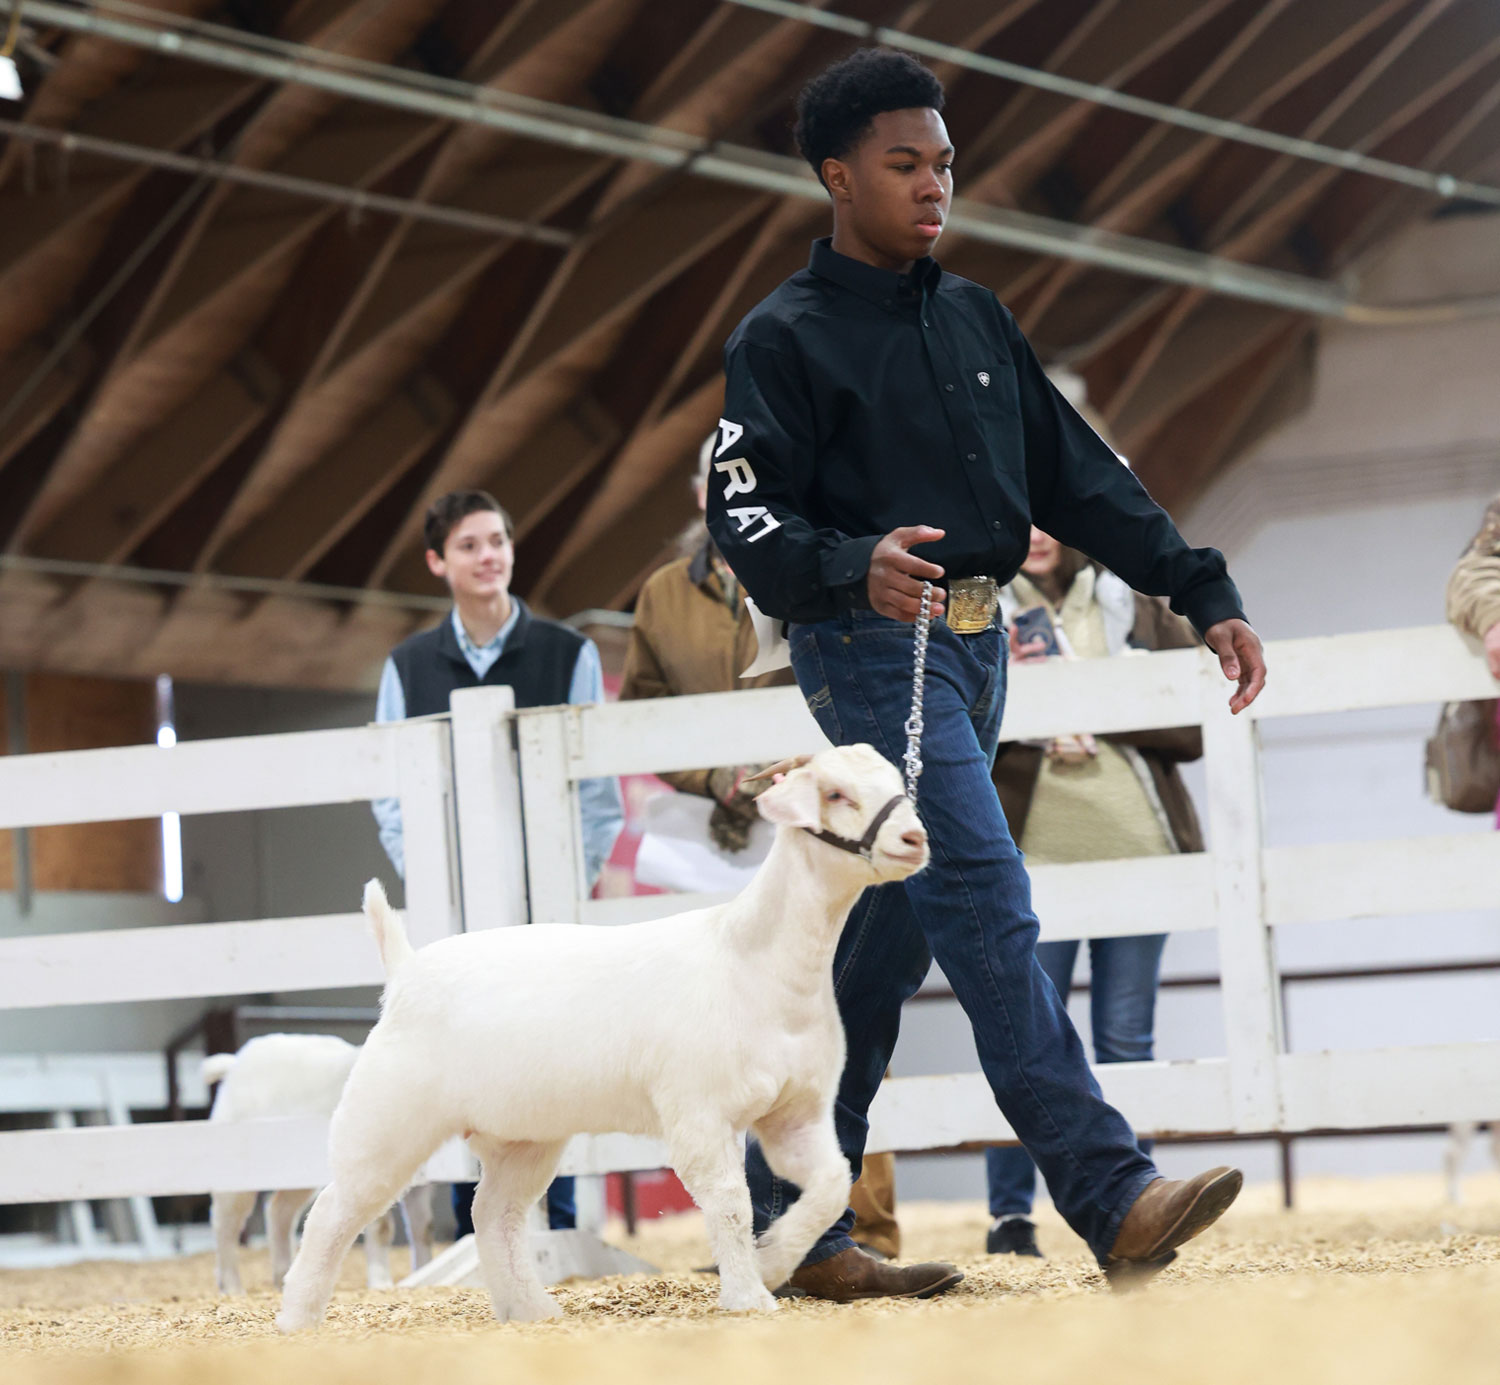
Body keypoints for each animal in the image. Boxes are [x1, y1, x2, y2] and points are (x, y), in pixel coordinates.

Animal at [203, 1034, 433, 1294]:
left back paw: (282, 1278)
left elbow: (423, 1229)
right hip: (234, 1172)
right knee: (225, 1223)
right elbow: (382, 1227)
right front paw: (381, 1283)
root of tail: (234, 1063)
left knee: (278, 1211)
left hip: (298, 1175)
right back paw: (232, 1287)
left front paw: (425, 1274)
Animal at [277, 743, 927, 1330]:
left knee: (494, 1214)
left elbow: (830, 1184)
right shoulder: (698, 1114)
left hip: (523, 1137)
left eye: (897, 781)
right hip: (386, 1121)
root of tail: (405, 969)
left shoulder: (796, 1114)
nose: (915, 840)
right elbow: (730, 1204)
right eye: (836, 794)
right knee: (333, 1211)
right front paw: (749, 1296)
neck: (752, 958)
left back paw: (530, 1310)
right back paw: (296, 1319)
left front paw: (774, 1260)